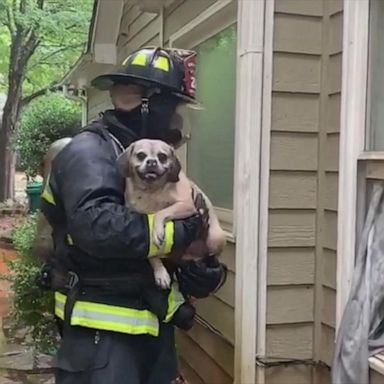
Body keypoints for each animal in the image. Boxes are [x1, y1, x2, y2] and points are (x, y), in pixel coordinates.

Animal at [115, 138, 226, 288]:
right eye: (141, 155)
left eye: (162, 156)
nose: (152, 161)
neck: (152, 191)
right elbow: (152, 256)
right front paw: (160, 273)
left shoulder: (185, 205)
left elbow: (160, 213)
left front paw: (158, 232)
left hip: (215, 238)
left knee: (211, 255)